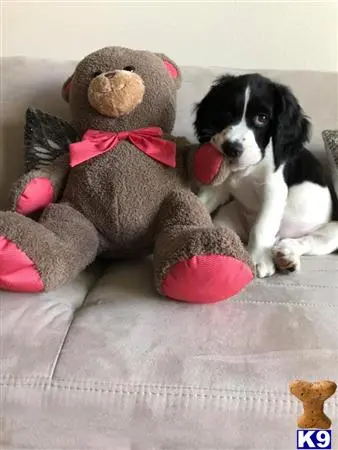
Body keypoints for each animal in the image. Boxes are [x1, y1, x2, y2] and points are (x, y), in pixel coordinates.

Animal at [193, 73, 338, 278]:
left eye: (262, 118)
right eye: (227, 113)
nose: (231, 148)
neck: (249, 167)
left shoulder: (273, 189)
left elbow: (262, 225)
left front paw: (259, 260)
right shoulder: (218, 187)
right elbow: (201, 203)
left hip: (331, 233)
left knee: (305, 241)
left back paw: (287, 256)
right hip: (227, 216)